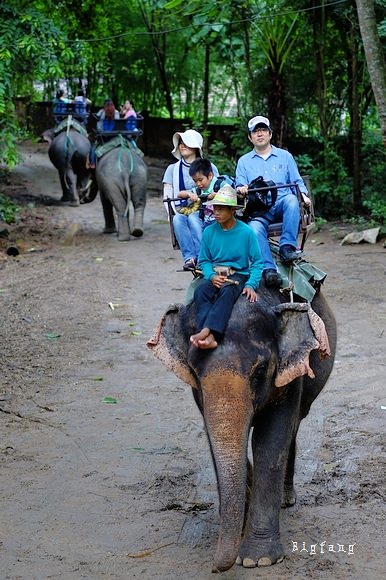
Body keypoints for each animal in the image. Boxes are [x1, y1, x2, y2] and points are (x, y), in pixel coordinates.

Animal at [146, 286, 336, 572]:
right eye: (194, 371)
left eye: (259, 372)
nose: (215, 567)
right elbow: (213, 436)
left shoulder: (289, 377)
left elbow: (269, 441)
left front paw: (257, 559)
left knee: (295, 425)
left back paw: (286, 499)